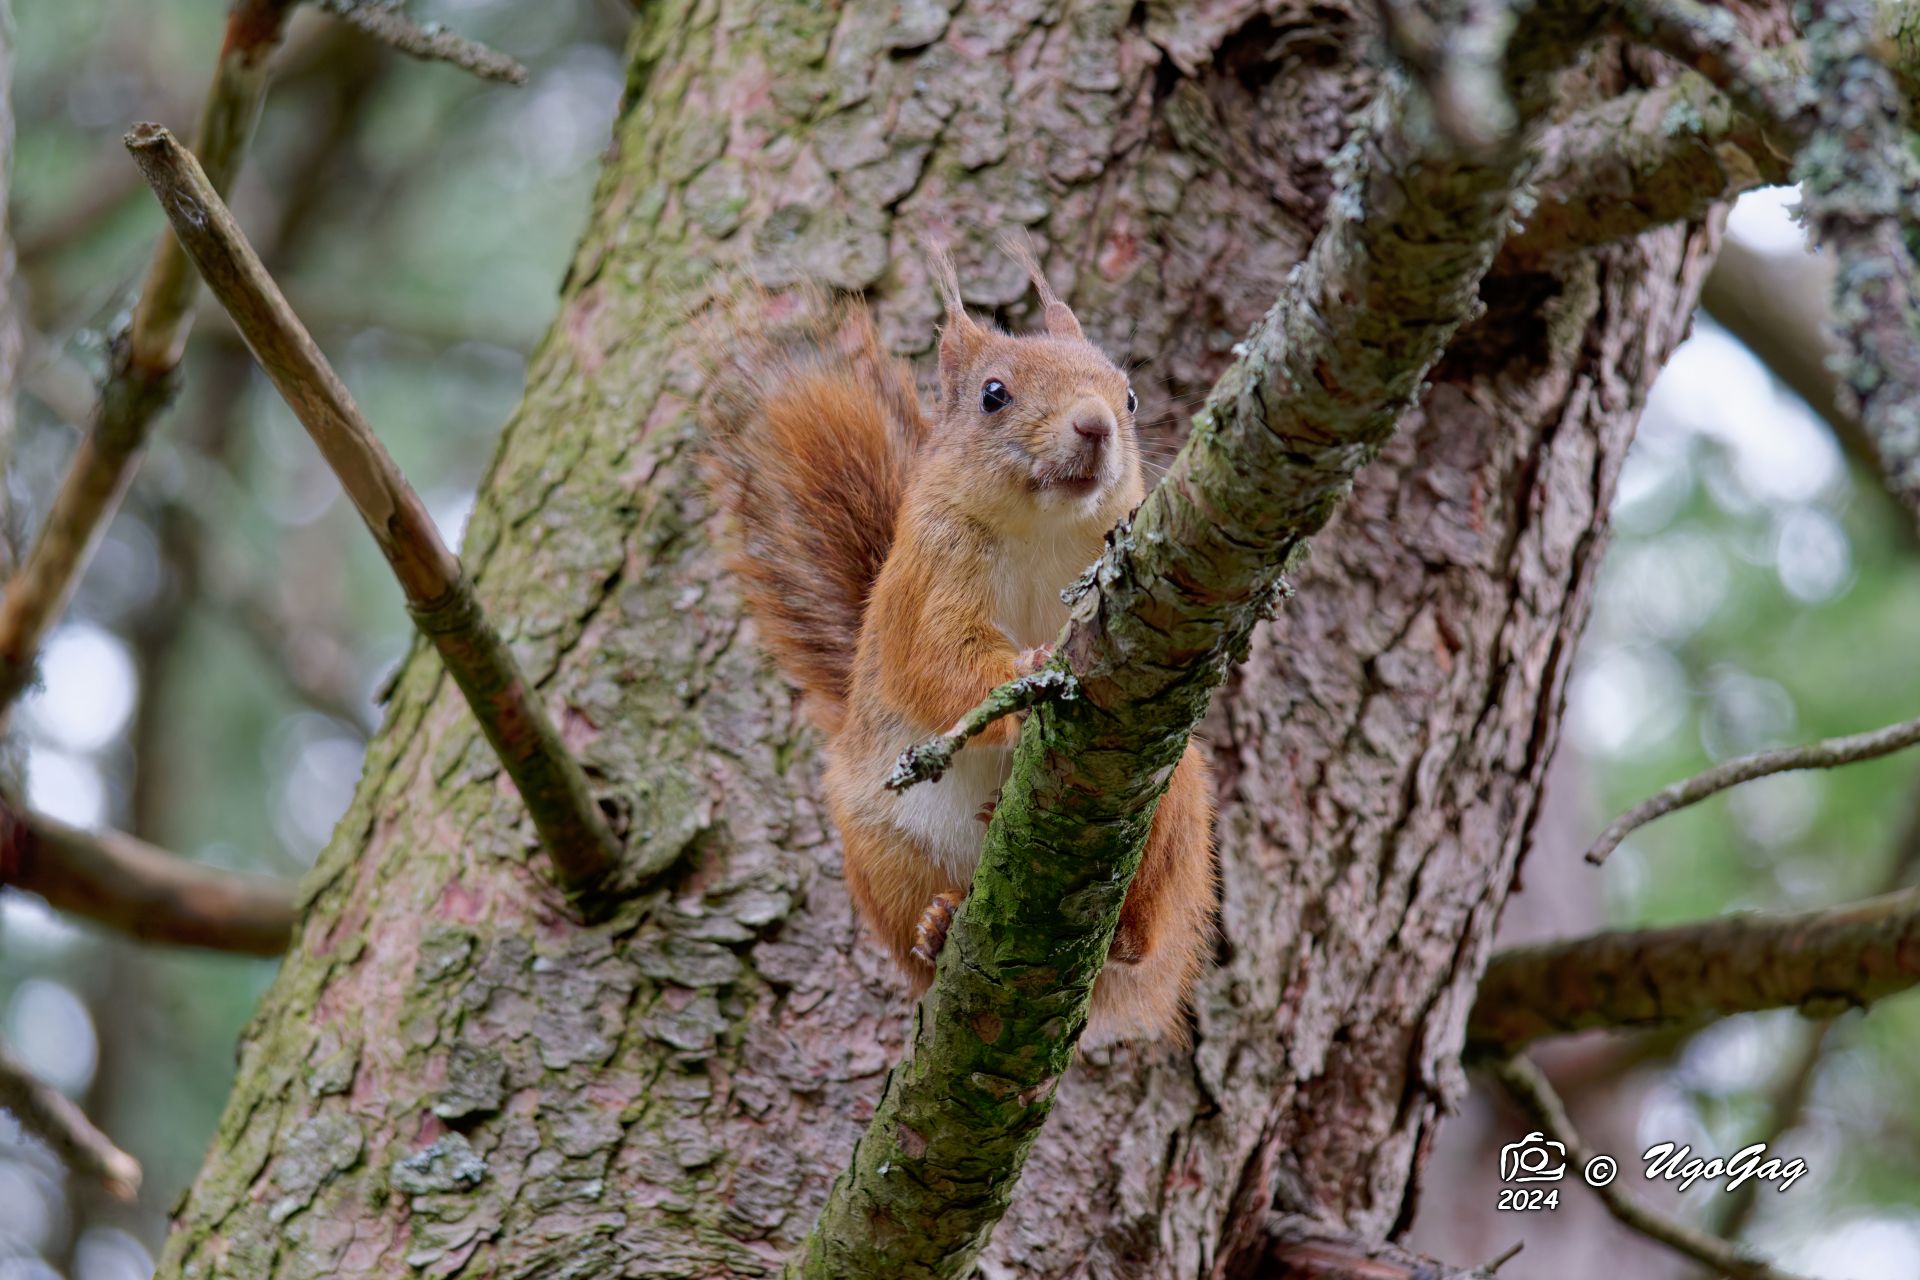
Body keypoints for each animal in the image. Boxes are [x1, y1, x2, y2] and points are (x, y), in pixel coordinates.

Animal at [701, 243, 1215, 1044]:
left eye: (1129, 396)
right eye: (993, 394)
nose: (1096, 423)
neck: (1041, 529)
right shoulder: (928, 584)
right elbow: (940, 660)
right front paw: (1028, 671)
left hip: (1175, 800)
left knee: (1143, 926)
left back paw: (1128, 931)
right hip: (884, 852)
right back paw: (939, 927)